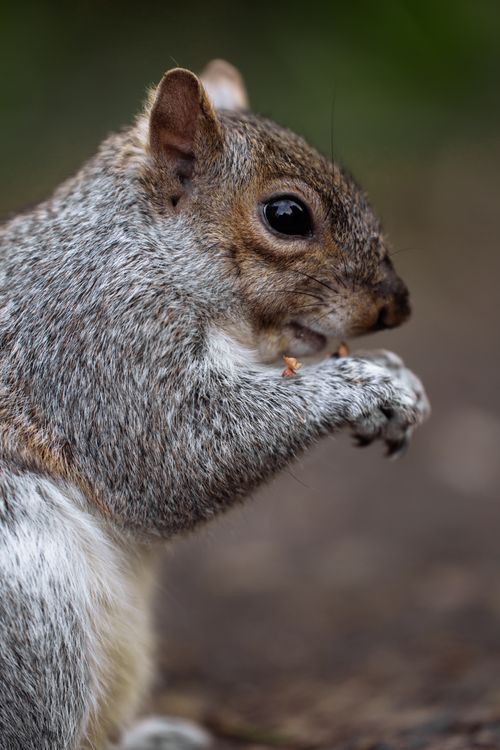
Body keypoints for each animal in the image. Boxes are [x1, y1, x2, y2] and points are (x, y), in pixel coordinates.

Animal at [0, 59, 429, 749]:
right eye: (287, 215)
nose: (397, 306)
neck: (142, 250)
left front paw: (398, 377)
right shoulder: (98, 342)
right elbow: (178, 457)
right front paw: (366, 385)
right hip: (35, 614)